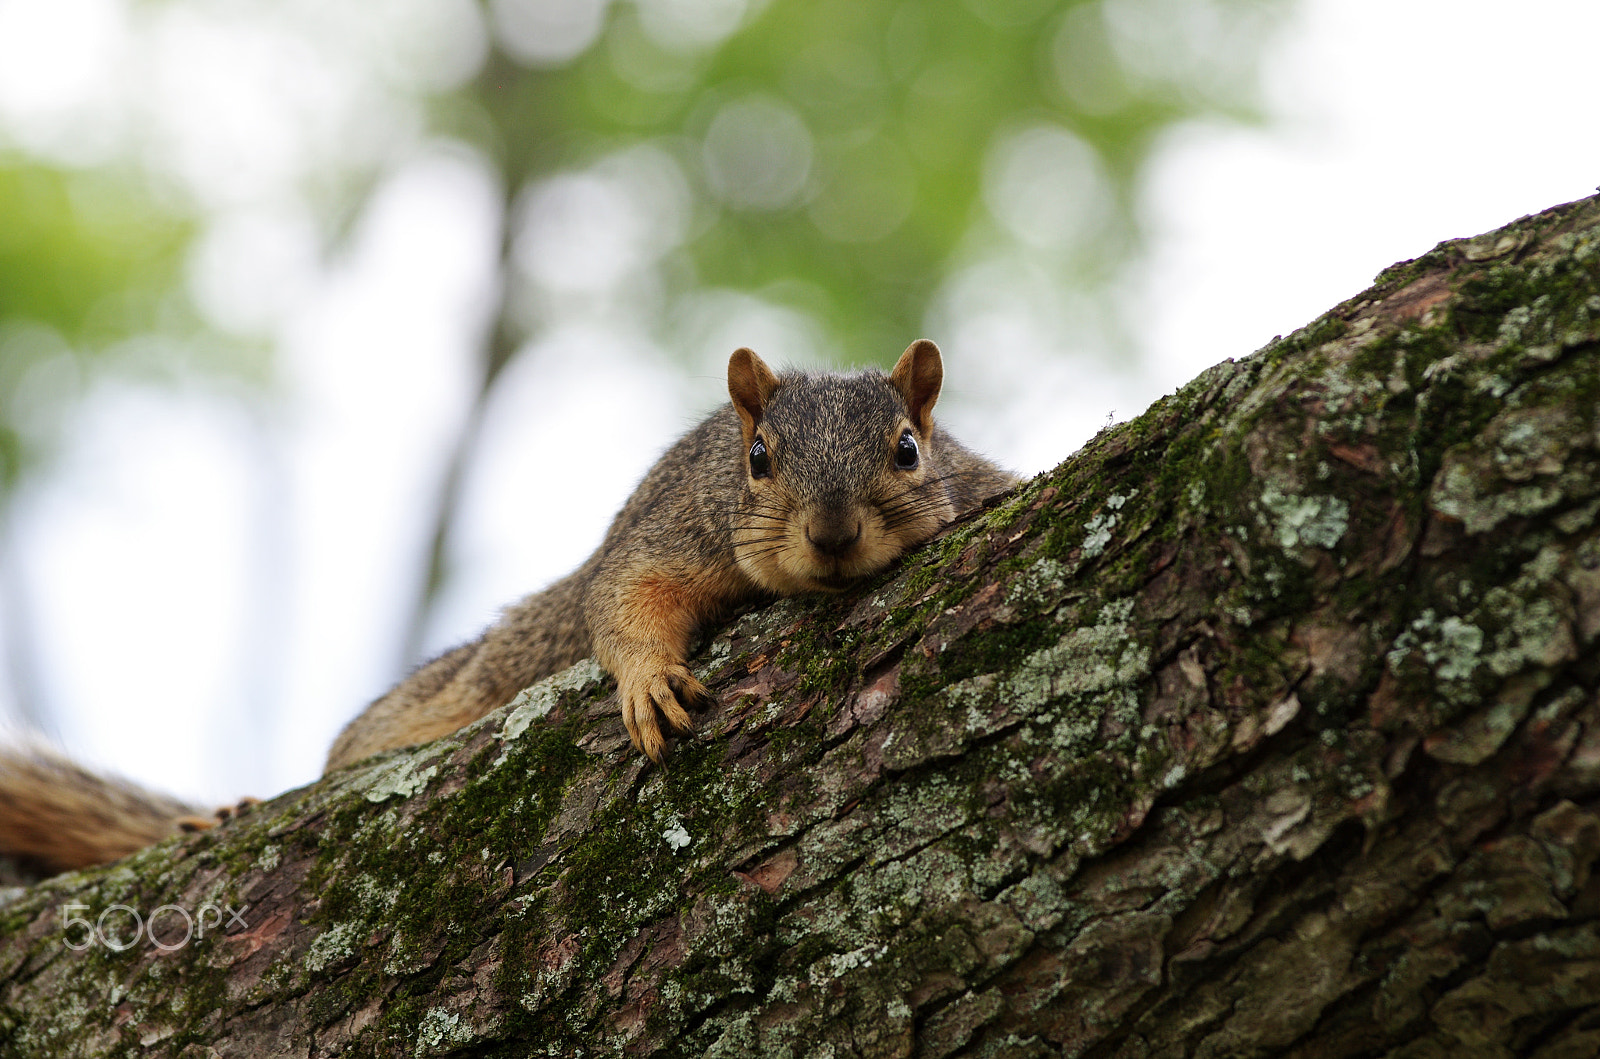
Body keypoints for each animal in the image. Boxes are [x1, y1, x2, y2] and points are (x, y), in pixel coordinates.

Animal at [0, 342, 1017, 876]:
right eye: (759, 458)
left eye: (909, 449)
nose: (834, 533)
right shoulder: (672, 530)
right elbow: (623, 599)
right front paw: (649, 682)